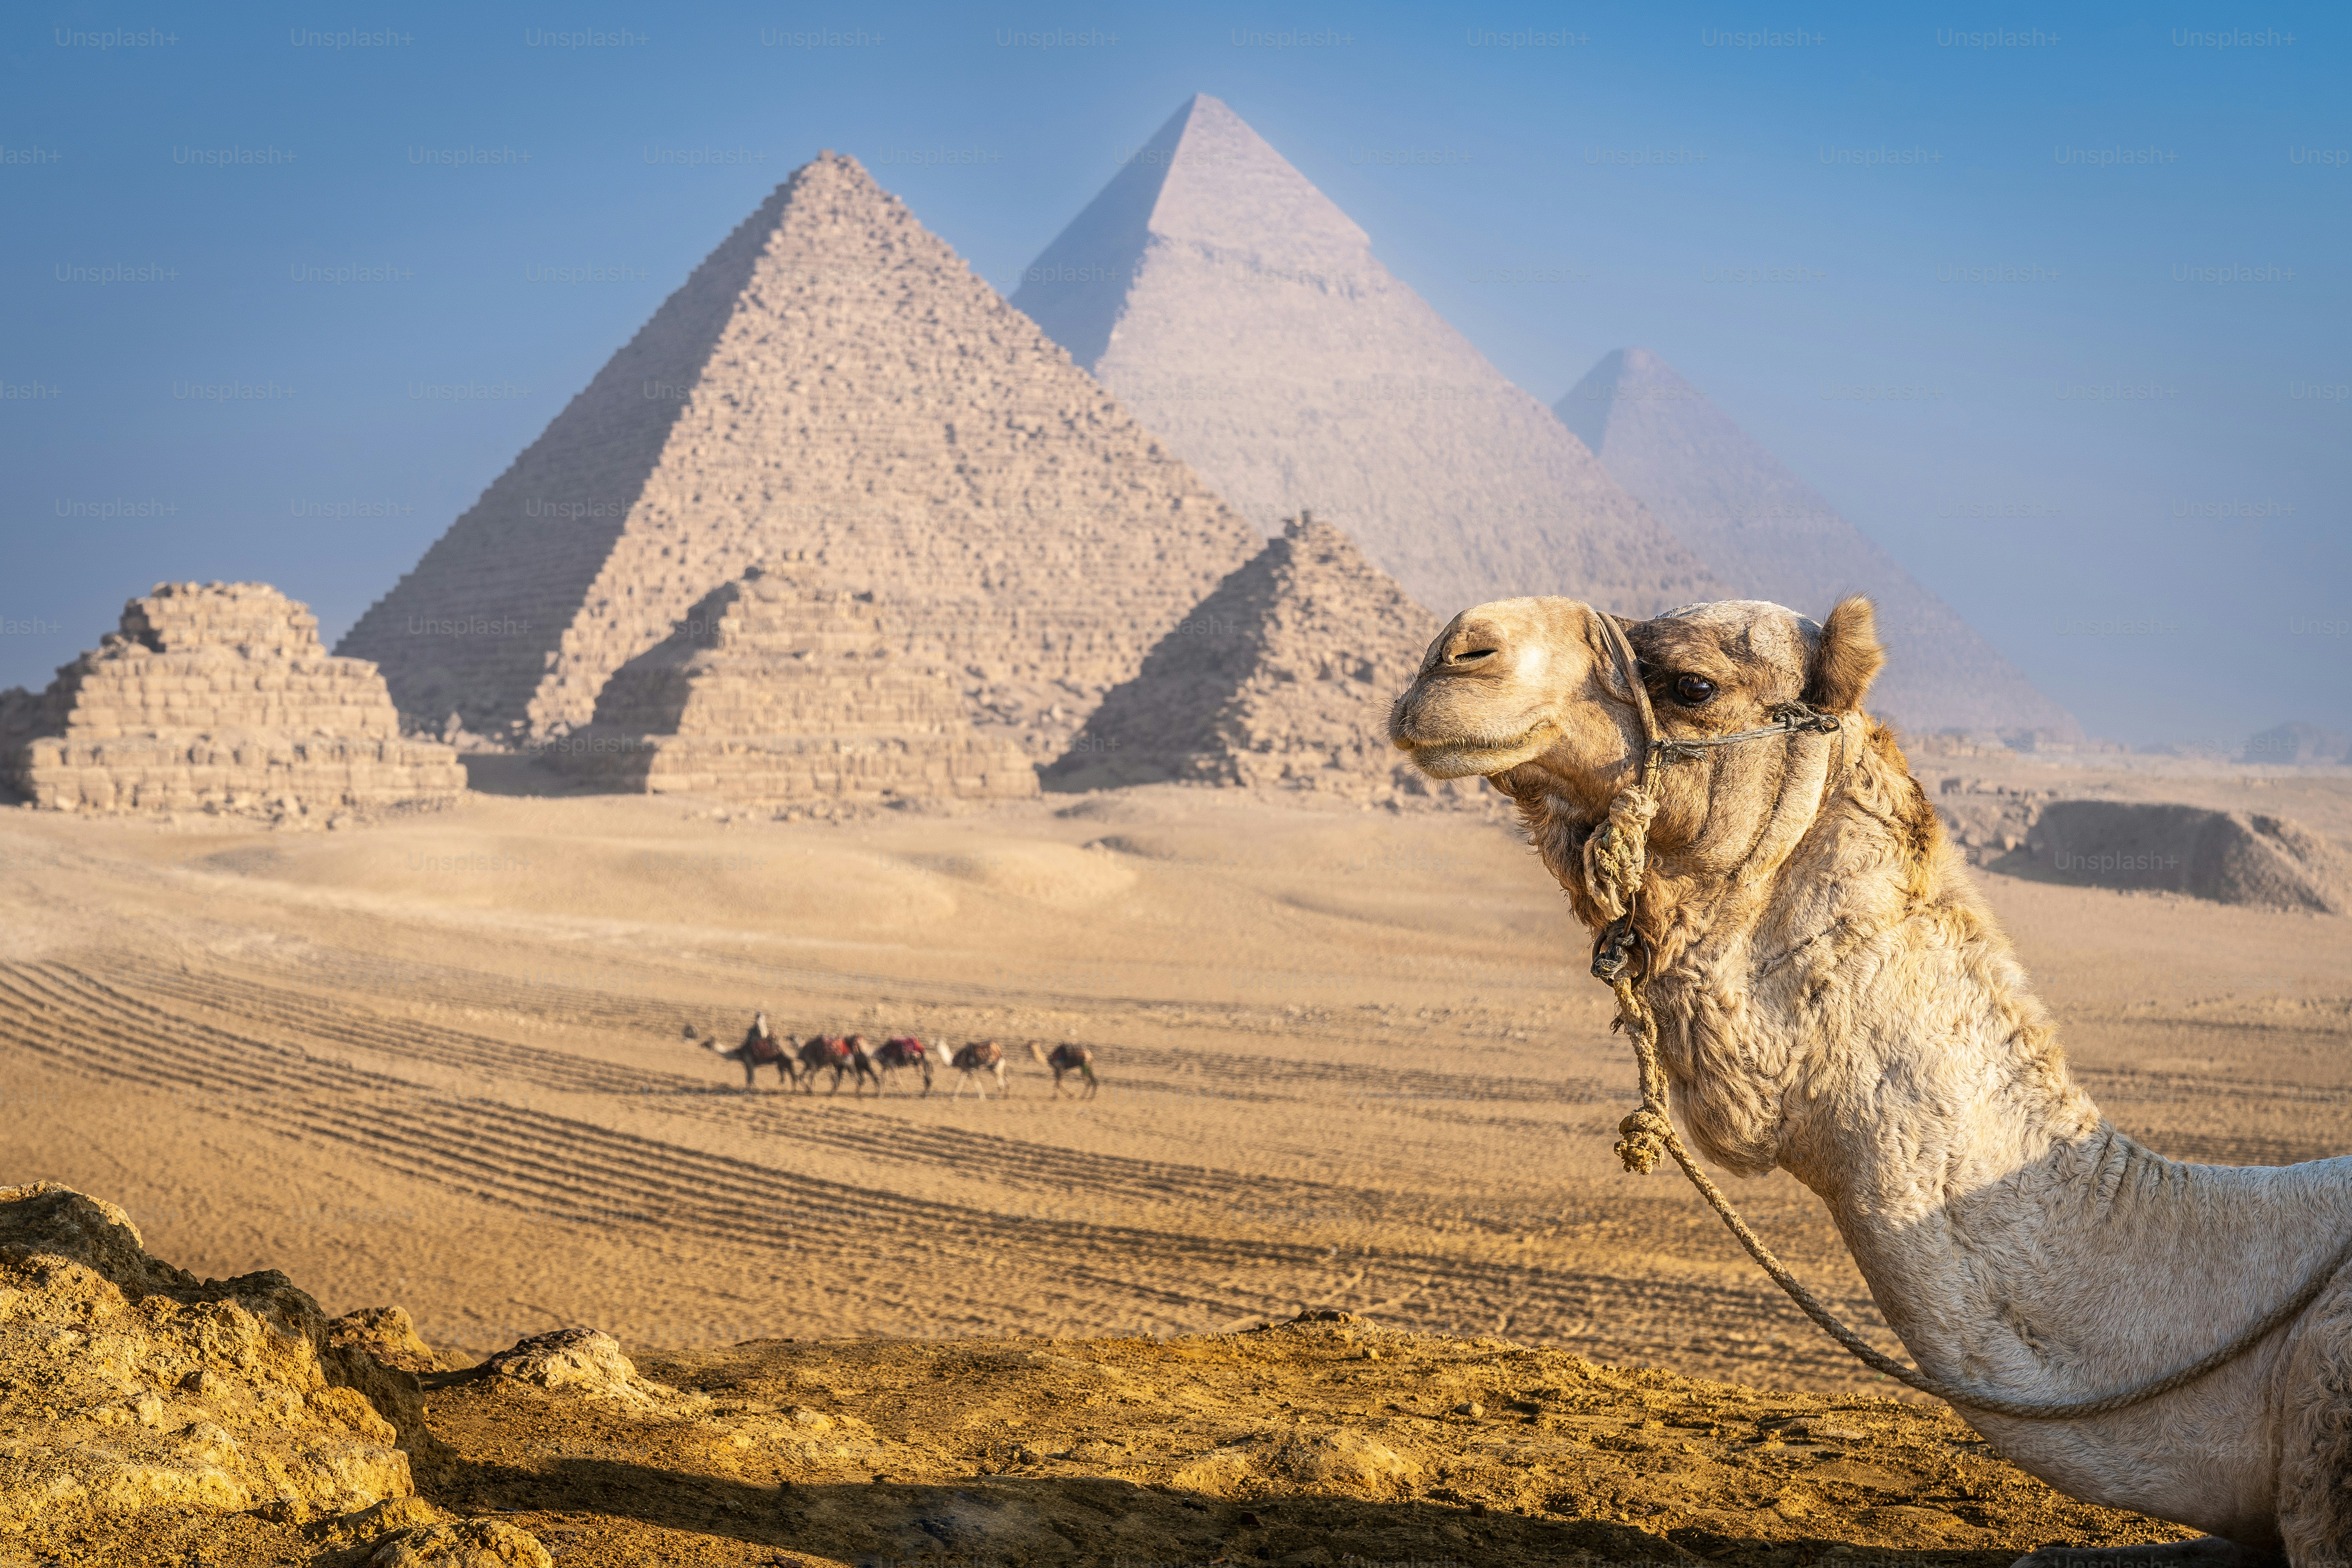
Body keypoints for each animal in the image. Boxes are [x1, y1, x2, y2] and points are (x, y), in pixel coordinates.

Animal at [950, 1040, 1007, 1101]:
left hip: (994, 1069)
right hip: (995, 1069)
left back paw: (998, 1097)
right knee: (1003, 1083)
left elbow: (975, 1083)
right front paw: (954, 1098)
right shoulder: (967, 1071)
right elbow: (960, 1083)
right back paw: (1004, 1096)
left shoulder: (969, 1071)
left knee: (1002, 1084)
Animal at [1029, 1041, 1097, 1099]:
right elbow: (1059, 1083)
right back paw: (1091, 1097)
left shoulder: (1060, 1069)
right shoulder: (1057, 1070)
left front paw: (1056, 1097)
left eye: (1031, 1045)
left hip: (1084, 1065)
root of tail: (1090, 1055)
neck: (1050, 1059)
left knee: (1088, 1082)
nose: (1027, 1046)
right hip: (1088, 1066)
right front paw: (1069, 1095)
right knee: (1094, 1080)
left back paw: (1083, 1097)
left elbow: (1059, 1083)